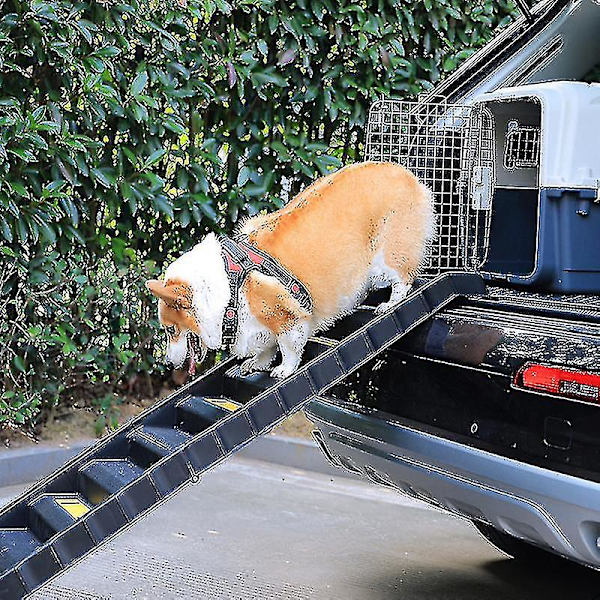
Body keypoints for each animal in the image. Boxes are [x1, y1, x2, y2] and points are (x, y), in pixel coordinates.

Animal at [148, 163, 434, 380]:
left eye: (170, 330)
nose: (168, 364)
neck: (226, 292)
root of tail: (406, 174)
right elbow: (265, 349)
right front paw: (254, 364)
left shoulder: (287, 318)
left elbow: (288, 348)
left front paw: (284, 369)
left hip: (387, 258)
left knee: (403, 278)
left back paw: (390, 303)